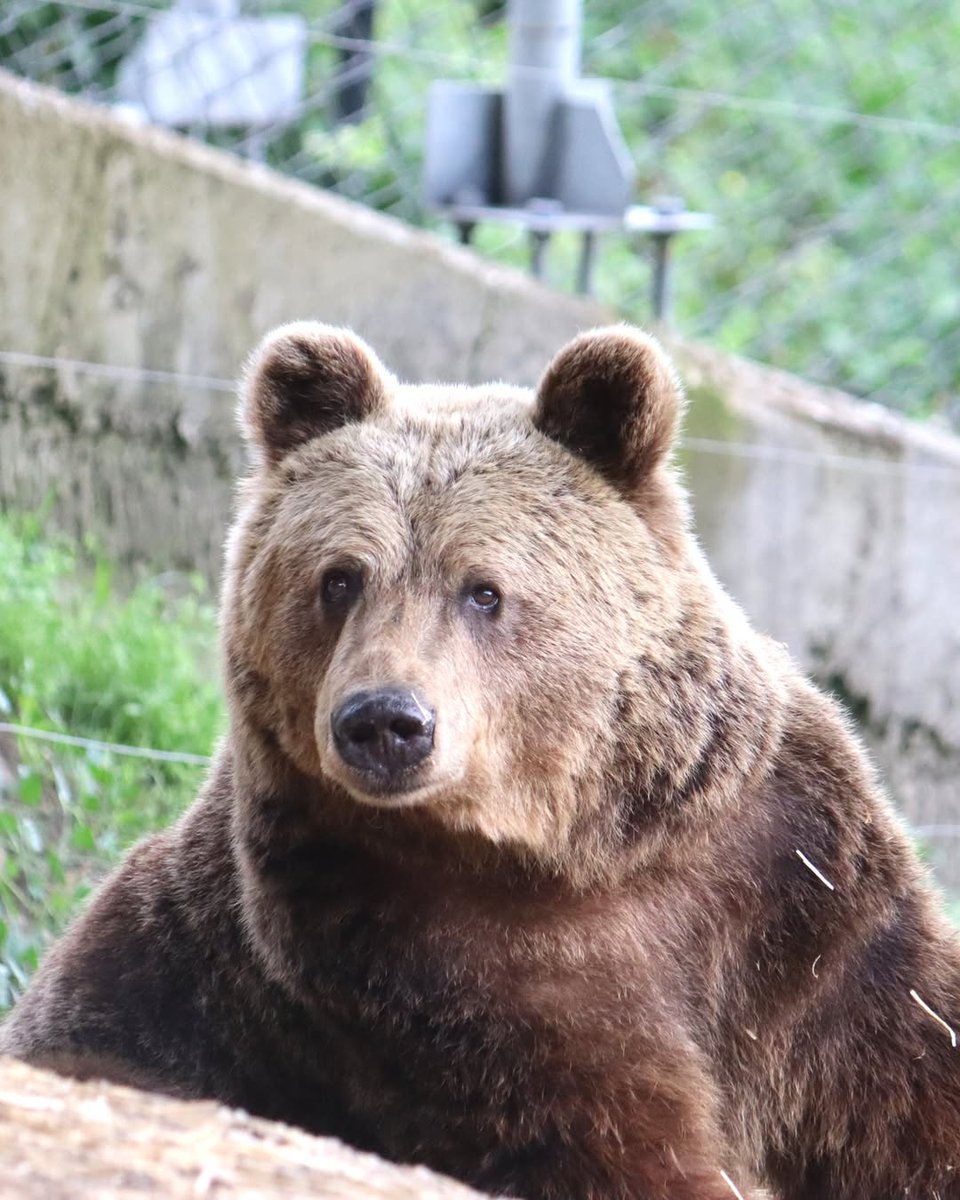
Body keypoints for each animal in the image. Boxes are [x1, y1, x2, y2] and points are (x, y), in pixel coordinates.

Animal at [2, 322, 960, 1200]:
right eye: (339, 578)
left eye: (484, 590)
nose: (384, 721)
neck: (575, 843)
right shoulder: (404, 944)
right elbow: (598, 1123)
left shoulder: (786, 877)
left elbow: (907, 1061)